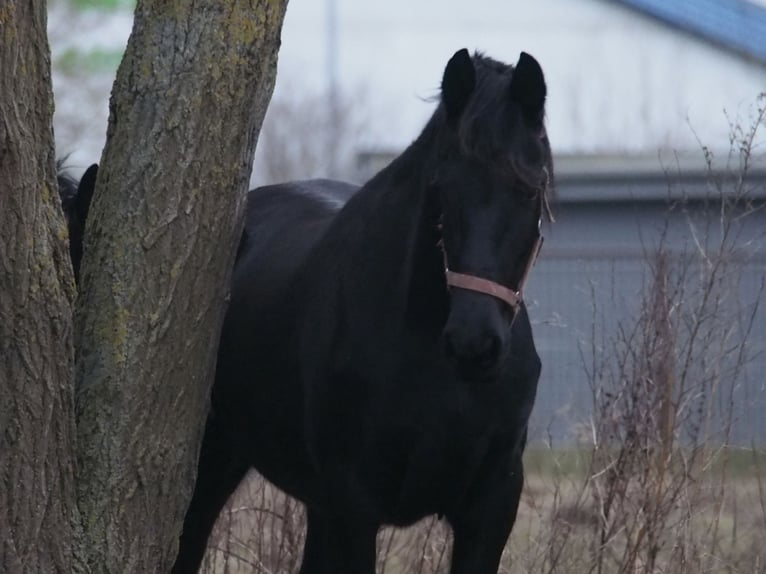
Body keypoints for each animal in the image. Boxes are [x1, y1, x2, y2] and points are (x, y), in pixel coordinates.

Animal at [60, 49, 552, 574]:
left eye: (530, 188)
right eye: (443, 188)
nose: (473, 344)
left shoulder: (492, 505)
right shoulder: (354, 506)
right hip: (217, 463)